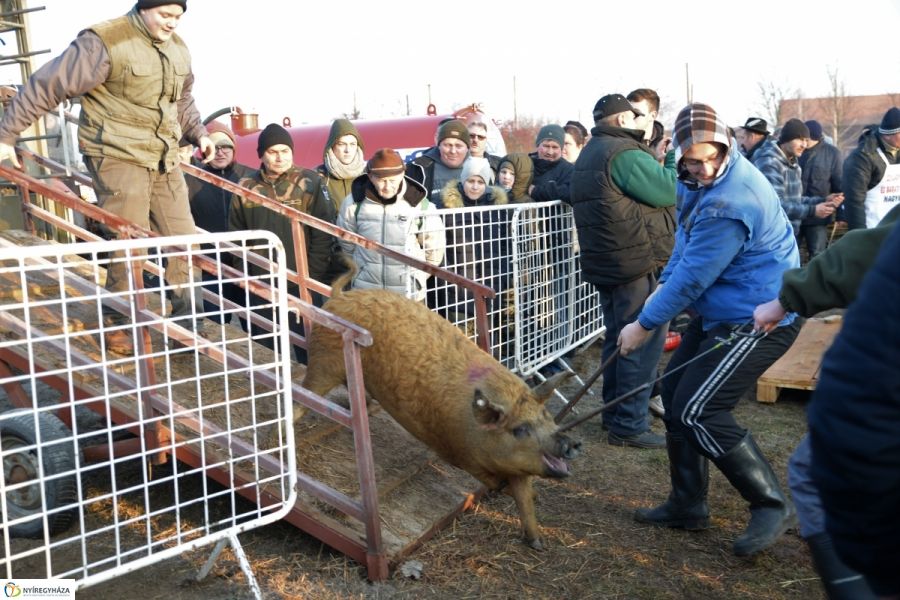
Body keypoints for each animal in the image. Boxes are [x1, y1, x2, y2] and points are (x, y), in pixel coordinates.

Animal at [302, 272, 584, 548]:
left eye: (547, 416)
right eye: (521, 429)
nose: (571, 443)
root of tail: (340, 296)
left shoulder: (517, 468)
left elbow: (524, 498)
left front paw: (537, 542)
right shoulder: (460, 454)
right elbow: (499, 484)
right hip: (325, 359)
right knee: (306, 394)